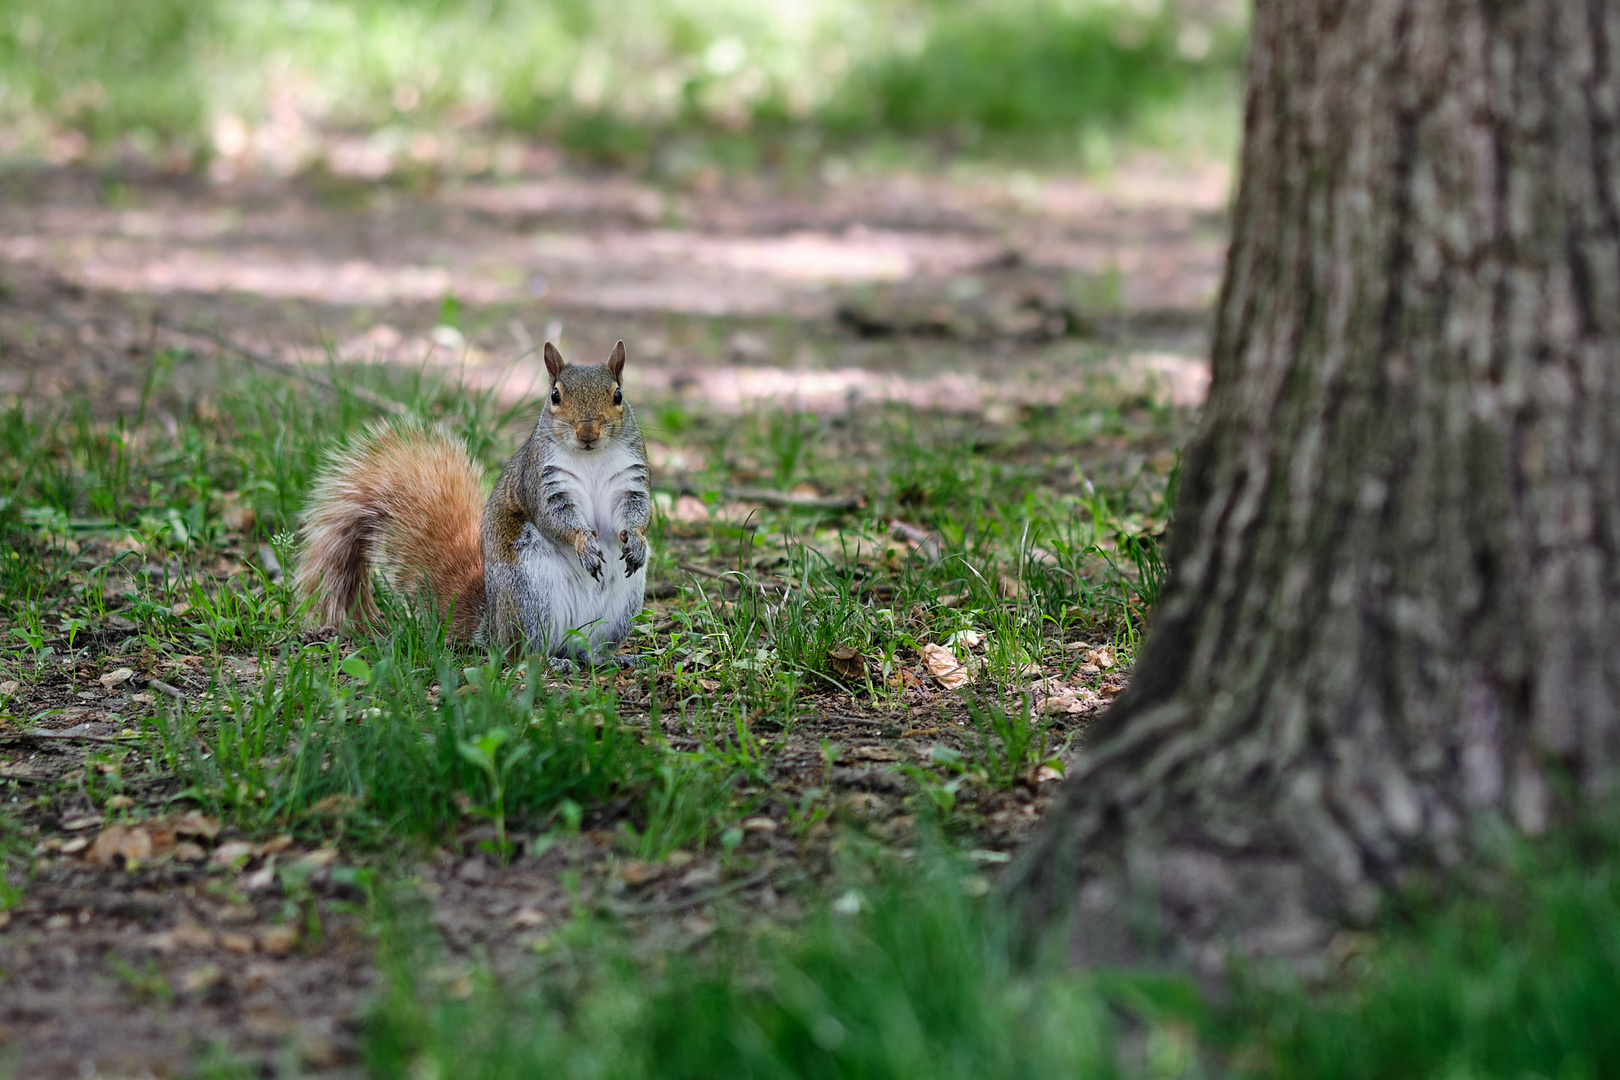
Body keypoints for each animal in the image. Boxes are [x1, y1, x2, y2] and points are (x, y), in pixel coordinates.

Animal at [294, 341, 648, 663]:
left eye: (618, 395)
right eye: (555, 396)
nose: (588, 432)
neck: (591, 458)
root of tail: (492, 626)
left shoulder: (631, 482)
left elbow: (638, 513)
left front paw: (636, 541)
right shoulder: (539, 482)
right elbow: (555, 518)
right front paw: (583, 544)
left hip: (620, 607)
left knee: (584, 649)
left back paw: (608, 658)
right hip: (531, 598)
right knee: (523, 652)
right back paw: (549, 660)